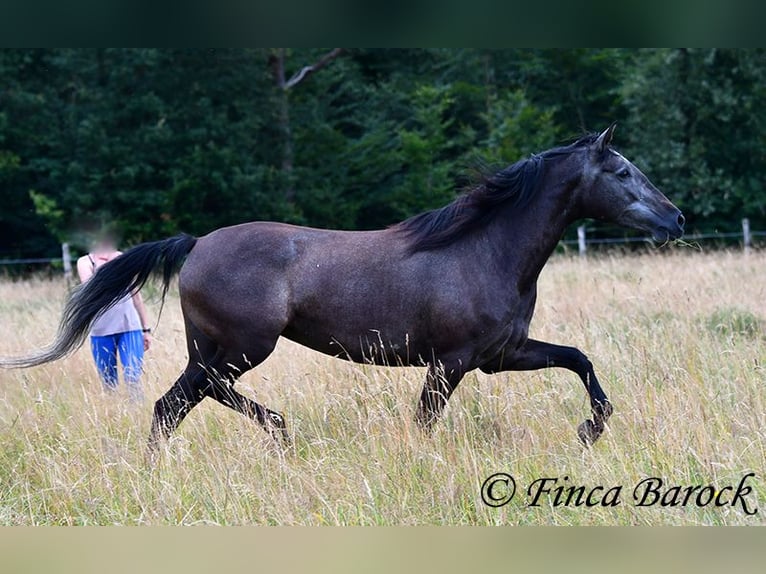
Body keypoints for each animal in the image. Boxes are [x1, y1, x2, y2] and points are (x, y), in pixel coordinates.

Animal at [0, 126, 684, 454]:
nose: (676, 219)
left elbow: (579, 360)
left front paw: (591, 429)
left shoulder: (500, 355)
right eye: (624, 172)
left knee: (176, 404)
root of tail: (195, 245)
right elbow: (425, 421)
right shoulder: (452, 362)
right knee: (192, 398)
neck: (486, 249)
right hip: (244, 346)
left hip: (217, 349)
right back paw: (279, 432)